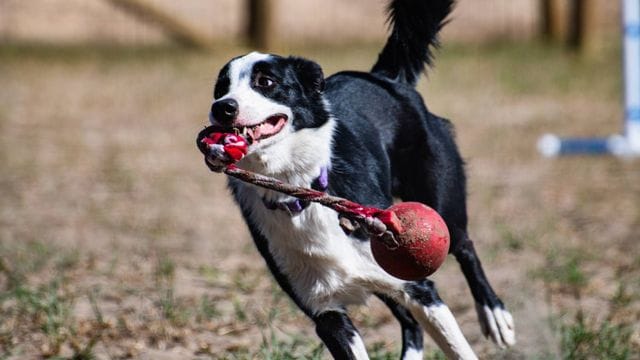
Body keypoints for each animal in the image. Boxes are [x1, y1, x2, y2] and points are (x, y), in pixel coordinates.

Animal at [200, 1, 516, 358]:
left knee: (465, 246)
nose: (222, 107)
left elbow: (459, 348)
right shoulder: (327, 314)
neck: (301, 192)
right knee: (410, 322)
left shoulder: (420, 287)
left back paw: (495, 315)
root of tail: (382, 77)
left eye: (265, 81)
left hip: (440, 201)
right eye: (220, 89)